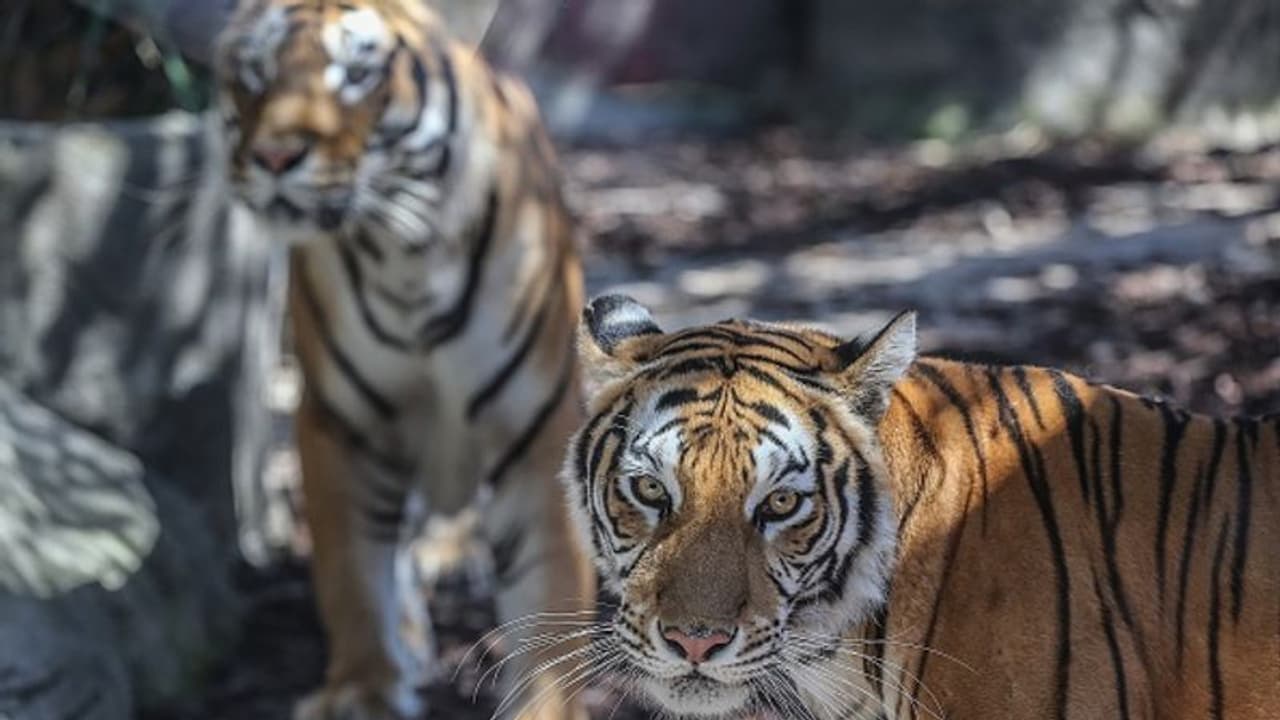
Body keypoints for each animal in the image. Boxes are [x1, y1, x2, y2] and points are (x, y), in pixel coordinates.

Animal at [213, 2, 595, 718]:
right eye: (254, 72)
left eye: (356, 73)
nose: (275, 156)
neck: (403, 255)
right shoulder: (344, 424)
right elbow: (355, 573)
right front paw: (364, 690)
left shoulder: (536, 427)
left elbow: (548, 587)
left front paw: (543, 702)